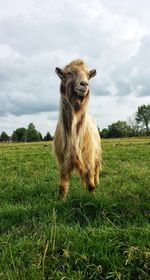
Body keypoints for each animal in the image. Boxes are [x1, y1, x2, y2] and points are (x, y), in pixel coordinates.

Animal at [53, 59, 101, 199]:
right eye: (69, 73)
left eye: (88, 74)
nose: (84, 84)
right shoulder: (63, 161)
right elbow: (63, 186)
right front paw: (60, 201)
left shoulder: (88, 157)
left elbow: (91, 183)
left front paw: (94, 198)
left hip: (96, 153)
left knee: (96, 169)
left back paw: (98, 181)